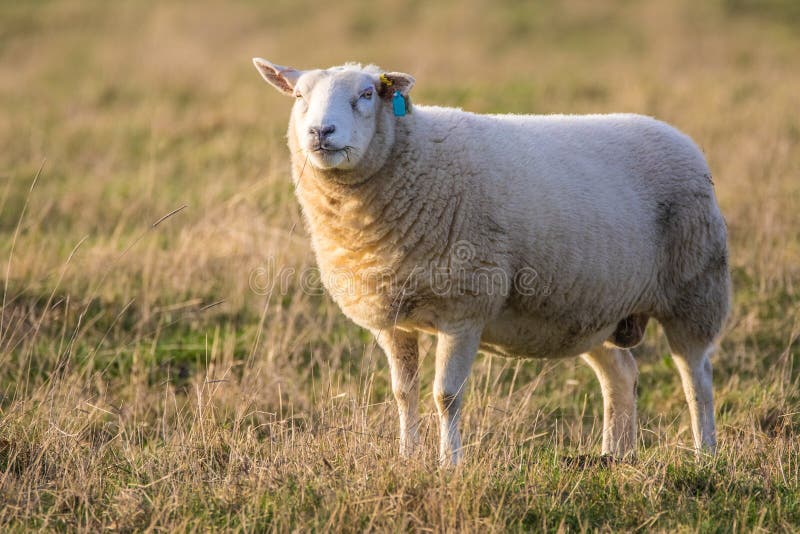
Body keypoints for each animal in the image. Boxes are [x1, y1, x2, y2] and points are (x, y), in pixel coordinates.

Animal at [252, 58, 730, 465]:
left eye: (367, 94)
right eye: (299, 96)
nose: (321, 132)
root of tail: (678, 137)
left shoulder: (464, 308)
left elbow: (445, 396)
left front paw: (449, 465)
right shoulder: (392, 319)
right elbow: (403, 393)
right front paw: (407, 458)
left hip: (696, 287)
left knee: (697, 378)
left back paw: (704, 455)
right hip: (595, 310)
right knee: (621, 376)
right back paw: (613, 456)